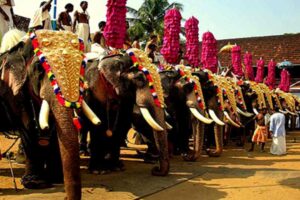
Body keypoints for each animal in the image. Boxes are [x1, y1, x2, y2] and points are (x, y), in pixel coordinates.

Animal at [0, 29, 101, 200]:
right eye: (39, 68)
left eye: (82, 66)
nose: (66, 197)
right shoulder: (14, 91)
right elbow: (28, 125)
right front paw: (35, 184)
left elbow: (54, 129)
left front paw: (56, 179)